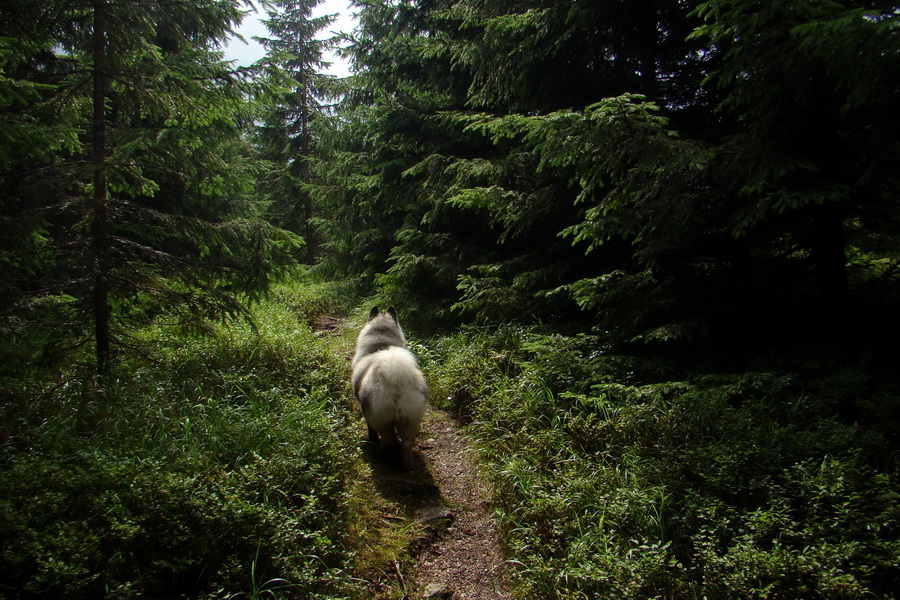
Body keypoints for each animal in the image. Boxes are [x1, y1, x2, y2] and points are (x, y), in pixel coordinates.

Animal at [350, 308, 428, 472]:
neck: (381, 344)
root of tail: (396, 382)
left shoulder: (366, 411)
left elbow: (371, 430)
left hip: (381, 418)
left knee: (386, 440)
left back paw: (381, 455)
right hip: (409, 421)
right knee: (406, 445)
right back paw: (406, 467)